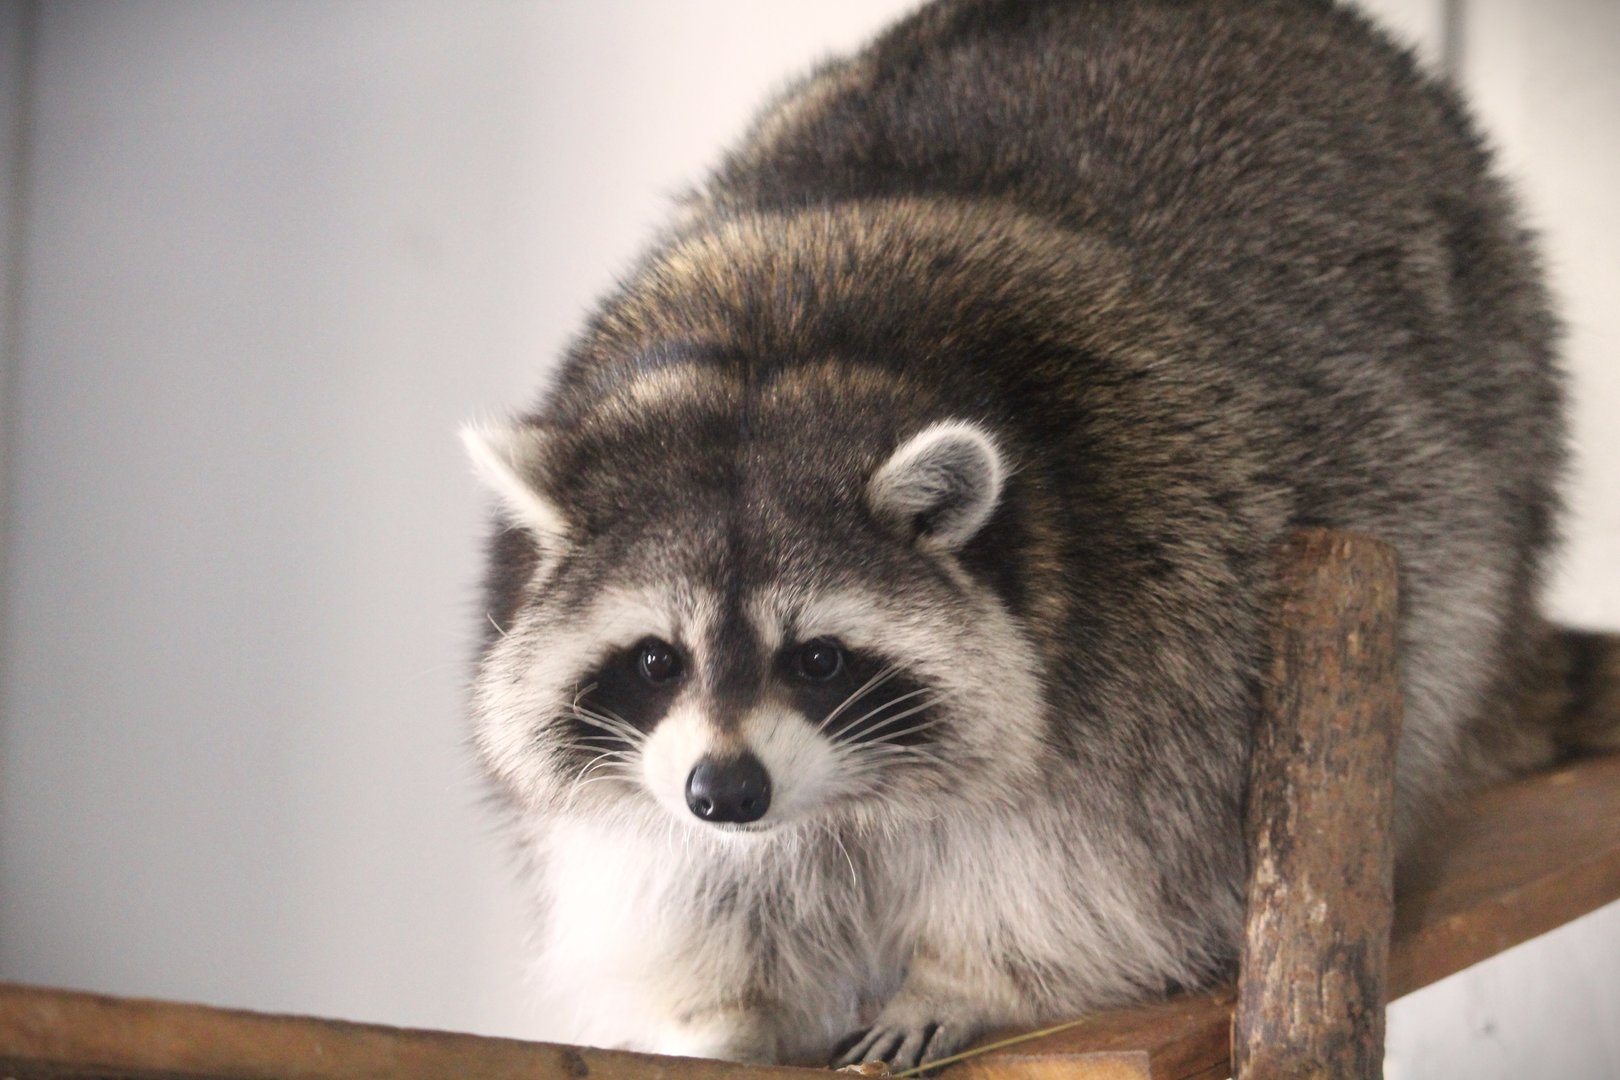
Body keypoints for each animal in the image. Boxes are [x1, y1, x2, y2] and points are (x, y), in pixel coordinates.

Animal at [464, 0, 1579, 1068]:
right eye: (656, 659)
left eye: (819, 658)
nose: (728, 791)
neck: (777, 356)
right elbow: (683, 882)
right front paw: (724, 1017)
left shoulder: (1164, 627)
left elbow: (1100, 875)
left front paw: (963, 983)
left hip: (1488, 408)